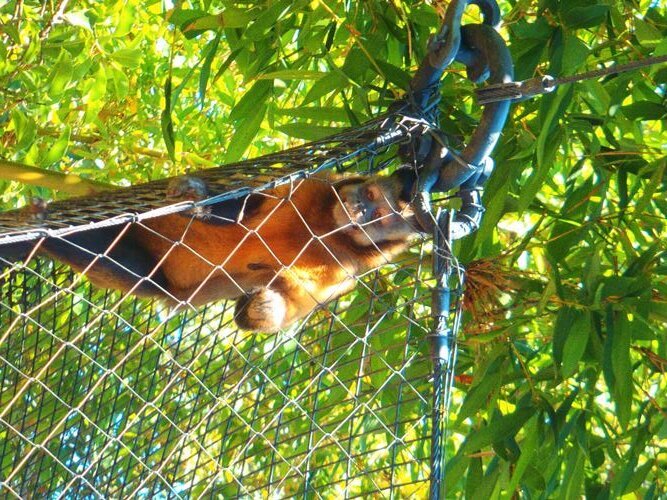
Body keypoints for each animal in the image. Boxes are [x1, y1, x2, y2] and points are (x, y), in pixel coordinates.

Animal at [0, 169, 418, 332]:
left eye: (380, 214)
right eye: (369, 195)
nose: (359, 209)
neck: (325, 228)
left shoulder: (342, 271)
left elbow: (279, 304)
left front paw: (263, 309)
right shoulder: (313, 188)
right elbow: (252, 203)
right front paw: (198, 201)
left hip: (152, 271)